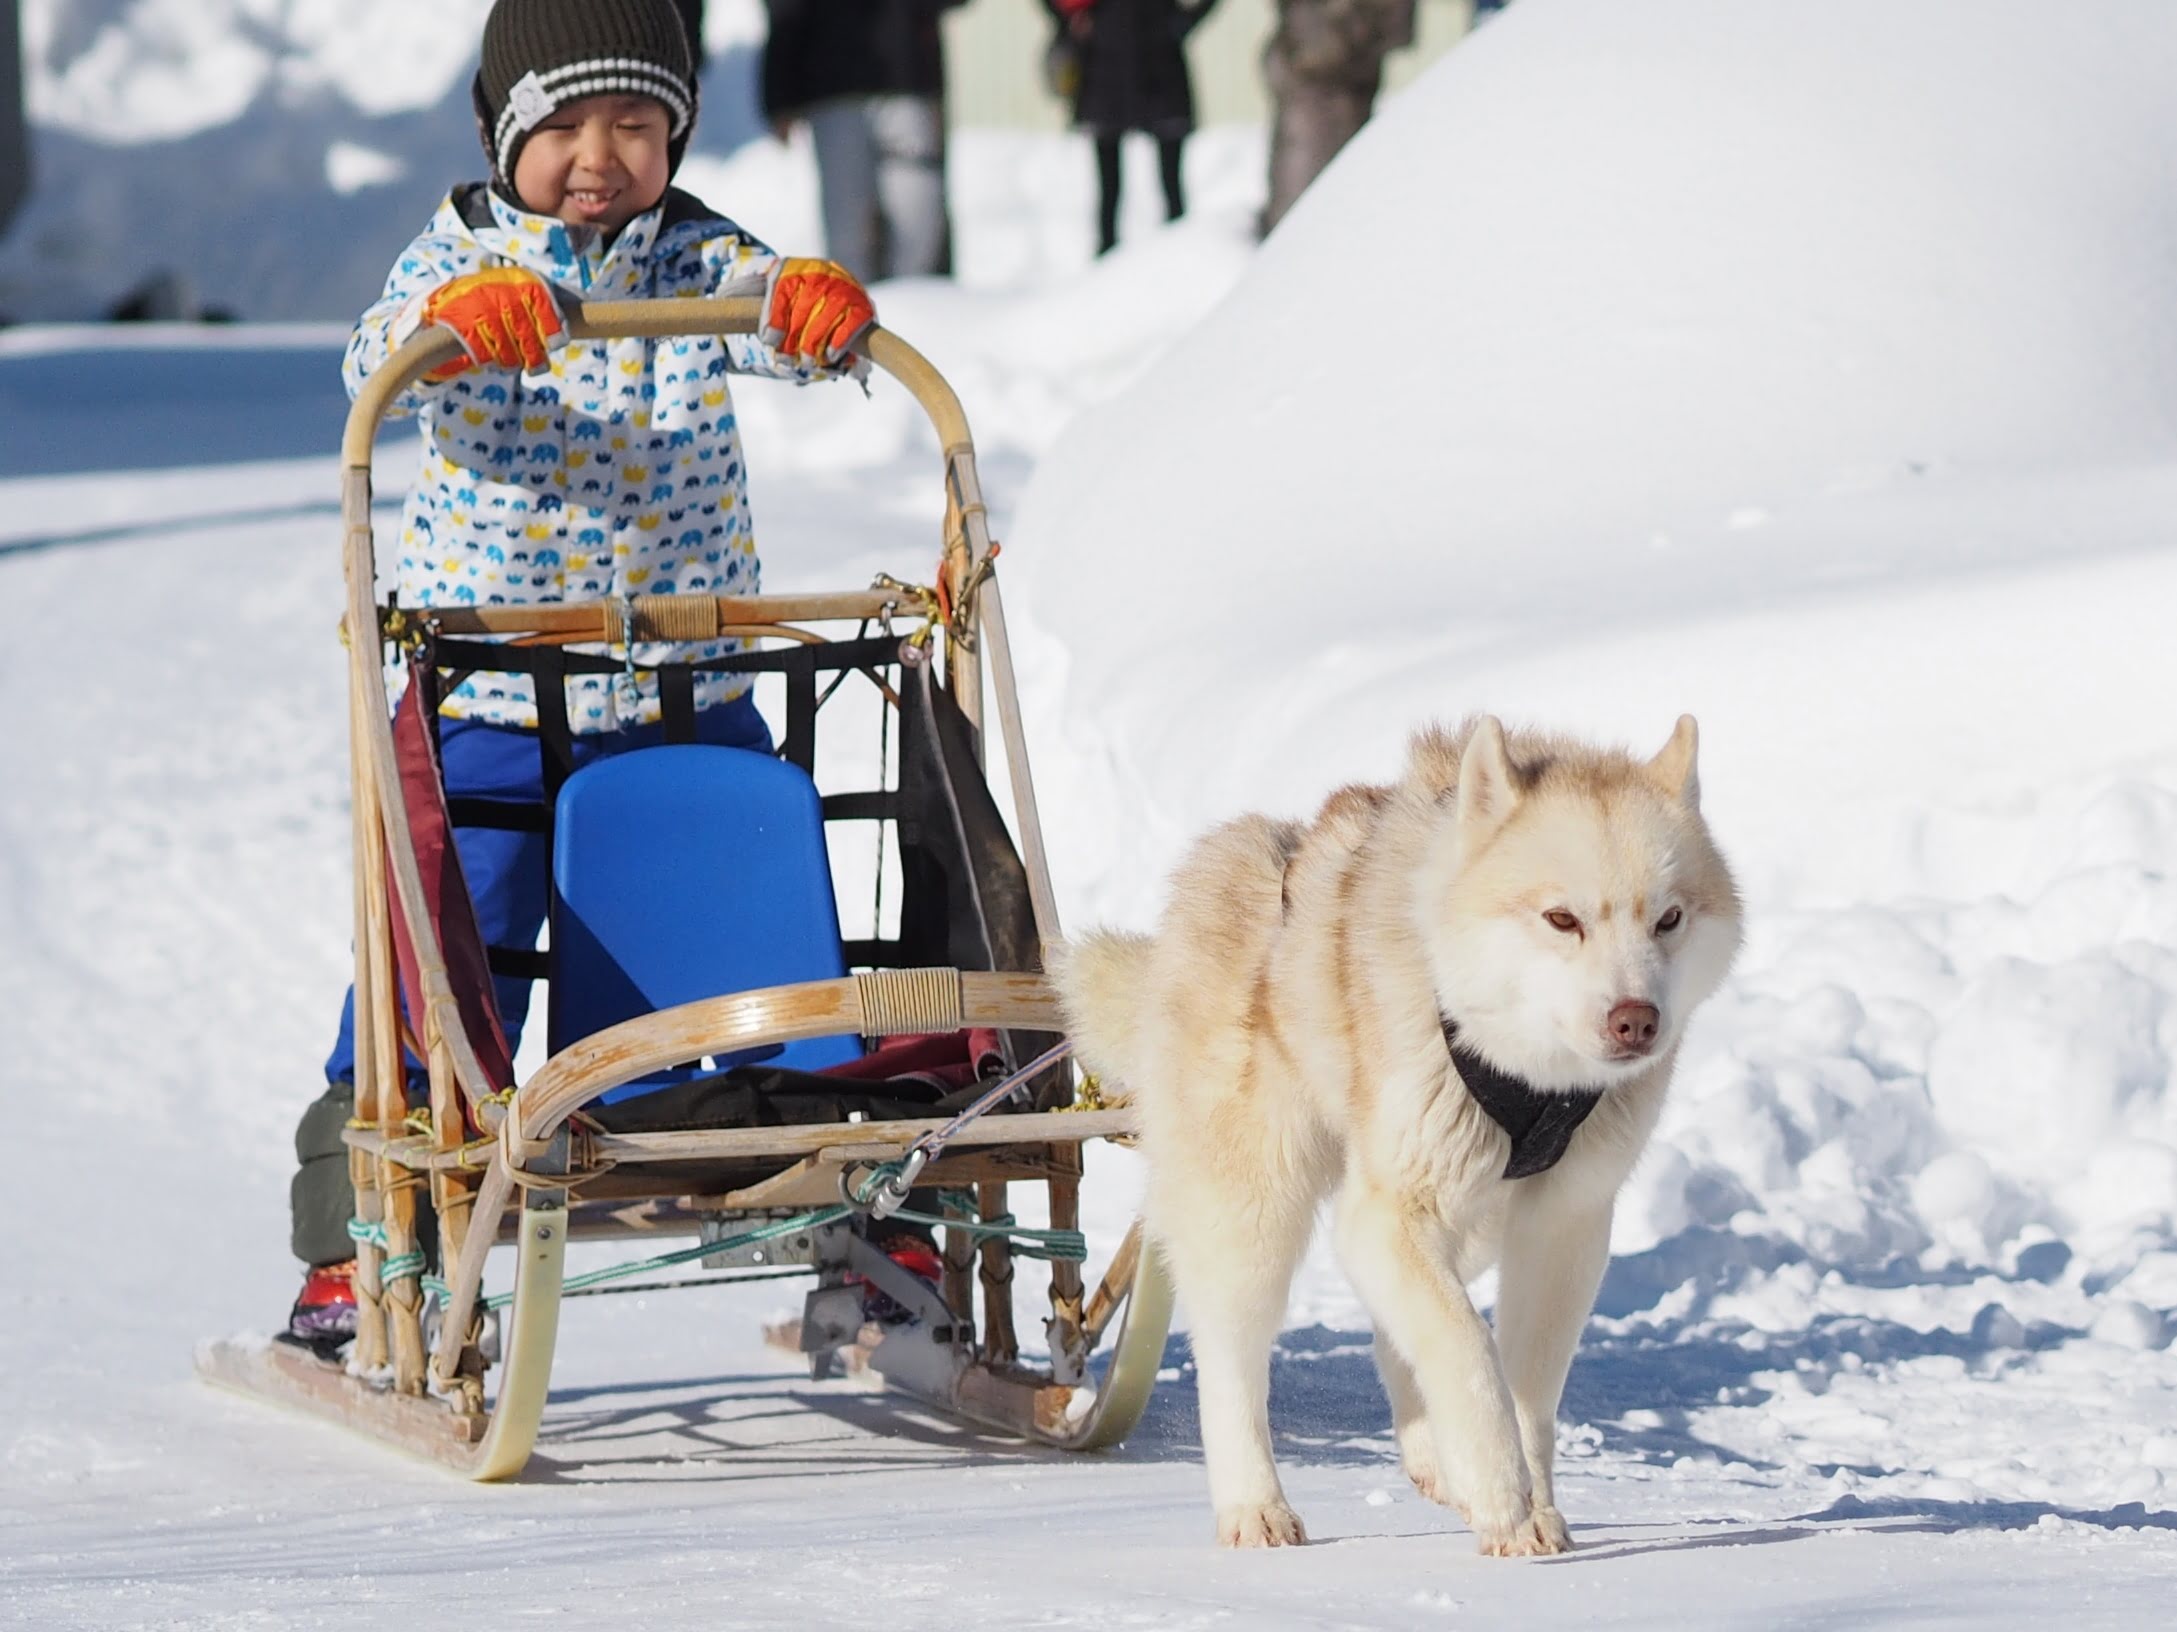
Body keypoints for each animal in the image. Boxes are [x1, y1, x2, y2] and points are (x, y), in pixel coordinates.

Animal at [1049, 713, 1732, 1558]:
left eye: (1668, 918)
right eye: (1560, 918)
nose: (1635, 1020)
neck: (1527, 1077)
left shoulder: (1563, 1227)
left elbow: (1525, 1384)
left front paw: (1530, 1507)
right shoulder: (1392, 1210)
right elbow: (1468, 1350)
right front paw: (1499, 1487)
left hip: (1459, 1218)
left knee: (1392, 1329)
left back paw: (1431, 1458)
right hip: (1256, 1215)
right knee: (1233, 1359)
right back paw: (1255, 1506)